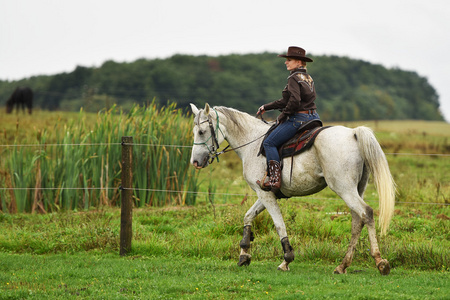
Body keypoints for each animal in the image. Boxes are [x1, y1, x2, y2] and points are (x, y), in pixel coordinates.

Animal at [190, 103, 398, 276]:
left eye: (201, 131)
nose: (195, 162)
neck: (252, 143)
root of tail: (353, 133)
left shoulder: (265, 194)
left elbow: (279, 224)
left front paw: (286, 260)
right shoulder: (265, 193)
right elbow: (248, 217)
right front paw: (244, 254)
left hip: (344, 189)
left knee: (366, 213)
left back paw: (380, 261)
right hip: (356, 189)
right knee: (357, 220)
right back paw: (342, 265)